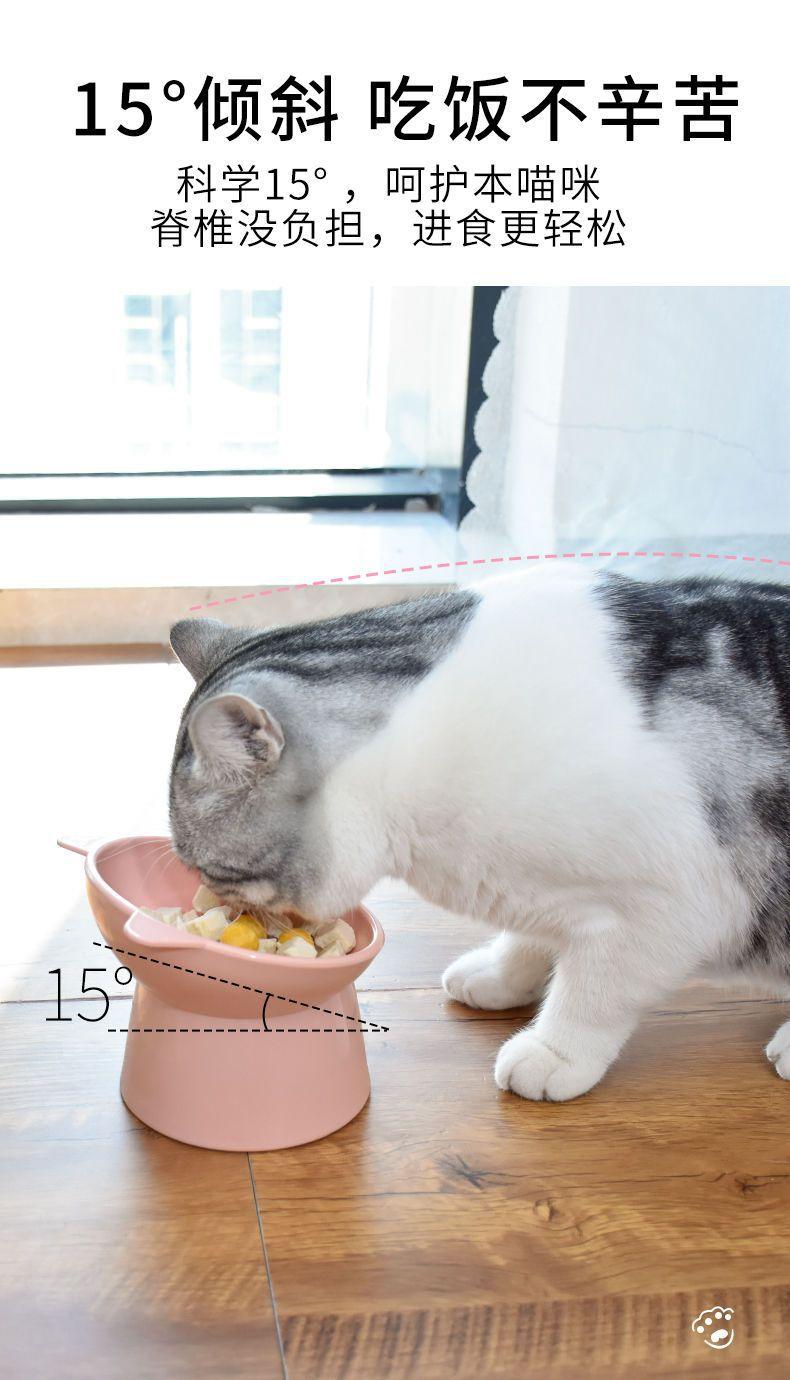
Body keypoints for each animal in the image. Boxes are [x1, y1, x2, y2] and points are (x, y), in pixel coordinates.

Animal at [168, 567, 790, 1102]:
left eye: (210, 870)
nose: (213, 899)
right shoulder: (541, 884)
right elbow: (533, 937)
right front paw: (501, 976)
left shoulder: (670, 906)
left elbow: (593, 993)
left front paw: (554, 1052)